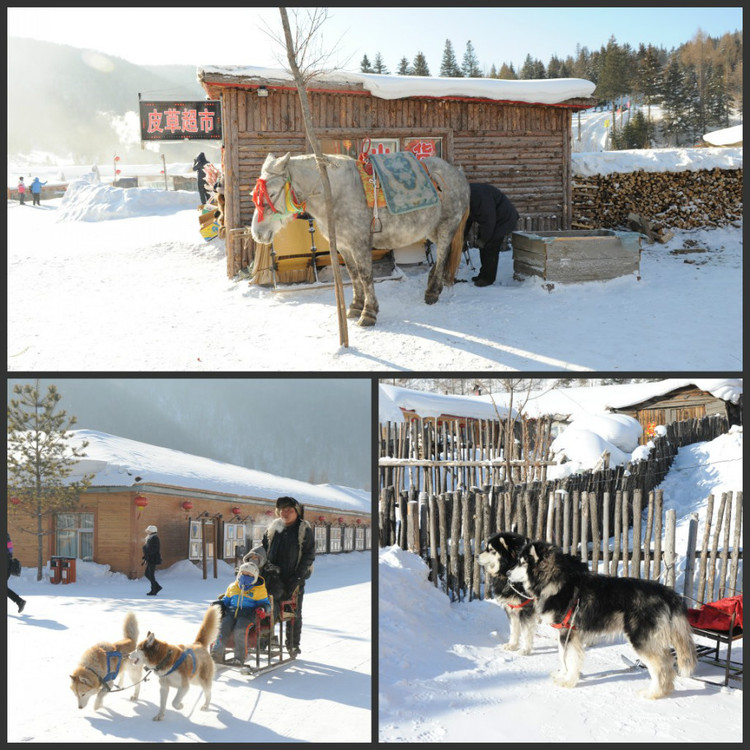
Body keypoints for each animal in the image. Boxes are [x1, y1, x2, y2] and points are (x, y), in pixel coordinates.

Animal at [256, 153, 472, 326]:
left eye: (272, 193)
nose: (257, 233)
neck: (334, 194)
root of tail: (458, 174)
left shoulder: (359, 244)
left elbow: (365, 275)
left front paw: (368, 313)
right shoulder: (343, 245)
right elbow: (353, 275)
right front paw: (355, 306)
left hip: (446, 227)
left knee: (443, 253)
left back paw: (432, 292)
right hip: (431, 230)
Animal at [512, 544, 700, 704]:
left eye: (521, 562)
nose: (507, 572)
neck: (554, 581)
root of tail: (668, 592)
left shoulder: (569, 632)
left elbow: (569, 658)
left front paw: (568, 681)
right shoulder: (565, 632)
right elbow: (562, 656)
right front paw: (563, 674)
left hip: (641, 639)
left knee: (661, 667)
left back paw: (653, 693)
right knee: (668, 662)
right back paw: (665, 691)